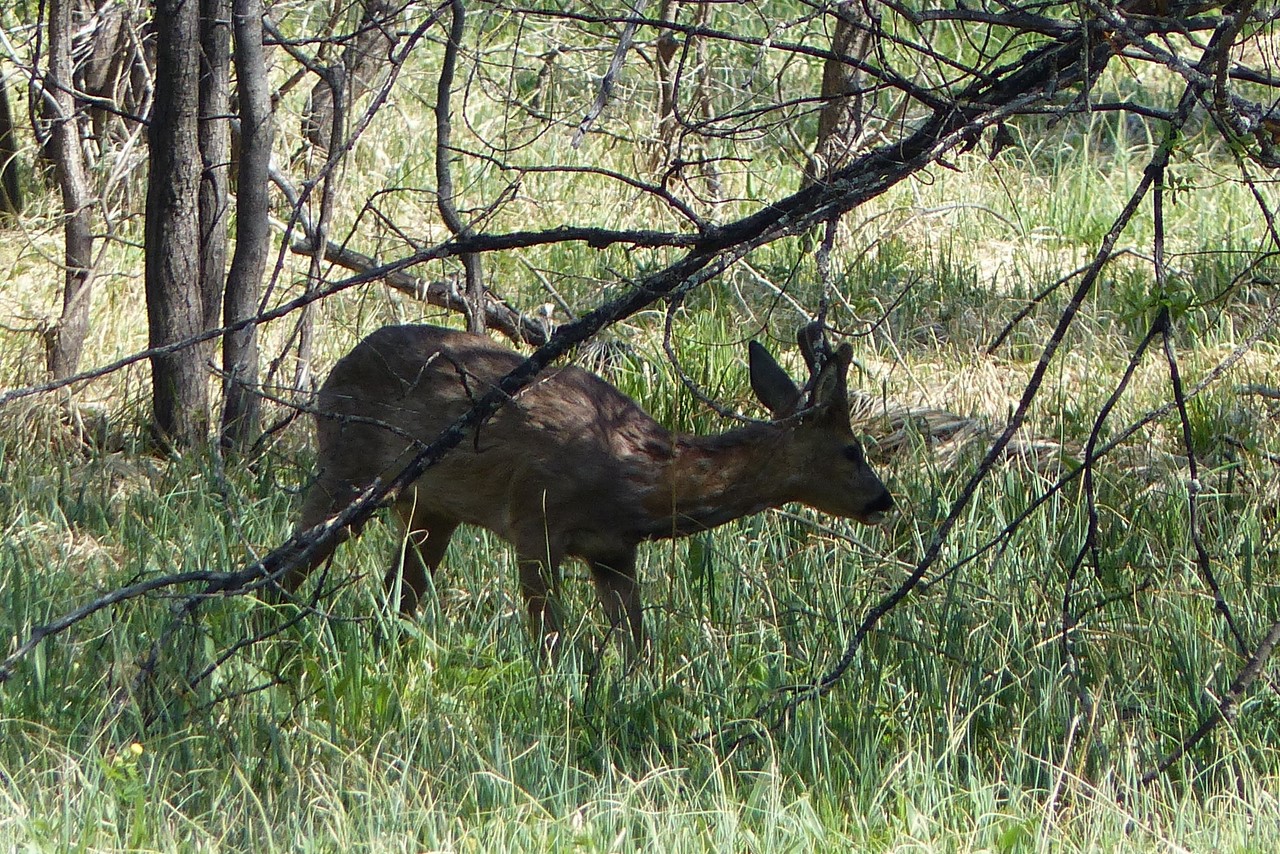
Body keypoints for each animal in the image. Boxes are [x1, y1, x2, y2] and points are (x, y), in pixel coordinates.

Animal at [286, 325, 896, 655]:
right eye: (852, 449)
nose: (883, 501)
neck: (638, 483)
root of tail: (337, 367)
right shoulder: (533, 522)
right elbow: (549, 643)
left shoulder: (614, 552)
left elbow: (638, 648)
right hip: (346, 465)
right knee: (294, 556)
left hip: (430, 508)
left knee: (397, 596)